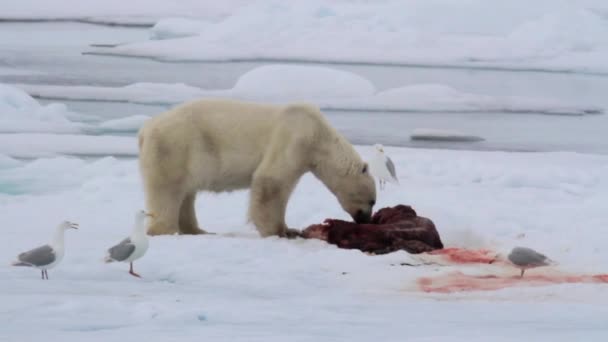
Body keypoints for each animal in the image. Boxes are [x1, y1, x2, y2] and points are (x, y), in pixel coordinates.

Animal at [137, 98, 376, 238]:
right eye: (372, 201)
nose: (366, 219)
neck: (319, 136)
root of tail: (146, 129)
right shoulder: (294, 138)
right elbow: (271, 180)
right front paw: (281, 231)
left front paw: (288, 229)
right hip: (175, 147)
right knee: (168, 189)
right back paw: (165, 229)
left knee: (186, 193)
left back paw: (196, 230)